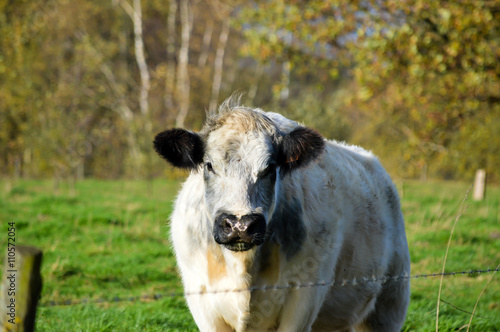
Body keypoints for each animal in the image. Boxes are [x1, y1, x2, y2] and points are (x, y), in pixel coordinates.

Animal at [155, 99, 410, 332]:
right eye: (209, 165)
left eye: (270, 167)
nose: (240, 225)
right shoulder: (202, 301)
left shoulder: (304, 297)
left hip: (389, 304)